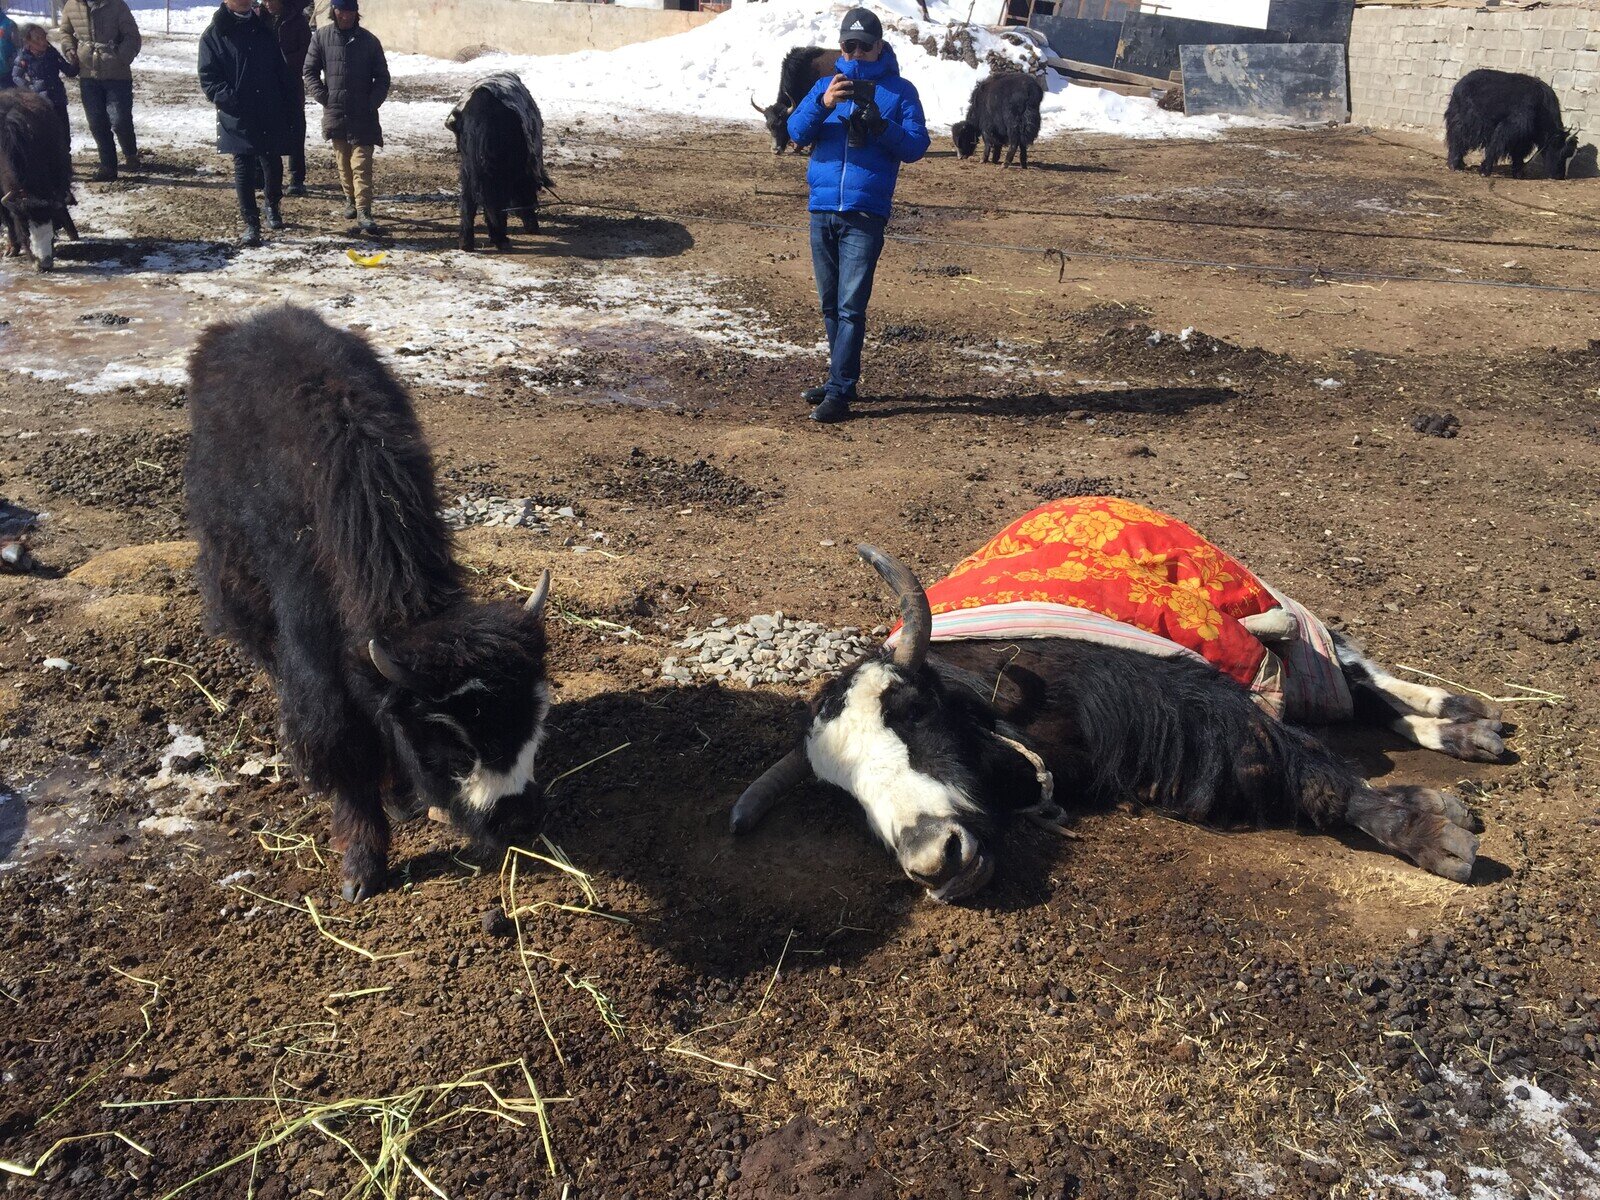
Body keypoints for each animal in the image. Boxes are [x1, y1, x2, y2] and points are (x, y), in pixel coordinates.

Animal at [183, 305, 550, 896]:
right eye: (448, 742)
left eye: (533, 718)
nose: (520, 822)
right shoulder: (316, 654)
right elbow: (340, 740)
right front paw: (361, 867)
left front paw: (399, 798)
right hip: (231, 558)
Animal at [444, 72, 556, 251]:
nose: (534, 229)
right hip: (496, 173)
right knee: (494, 202)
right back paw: (501, 239)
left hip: (468, 169)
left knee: (469, 202)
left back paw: (466, 244)